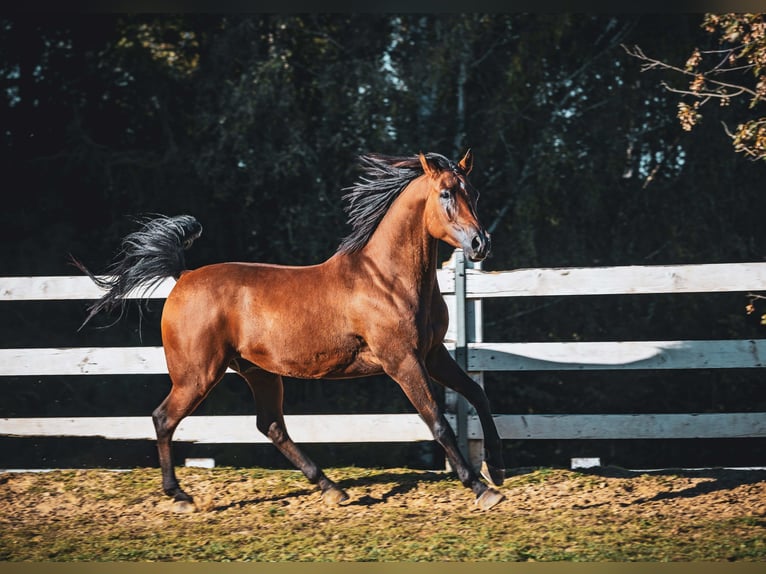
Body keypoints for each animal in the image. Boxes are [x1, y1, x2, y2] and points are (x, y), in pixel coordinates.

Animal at [76, 151, 510, 510]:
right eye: (446, 193)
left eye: (473, 192)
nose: (481, 243)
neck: (388, 280)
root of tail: (181, 276)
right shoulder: (402, 361)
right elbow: (438, 421)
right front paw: (480, 488)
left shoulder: (433, 354)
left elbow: (478, 395)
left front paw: (498, 469)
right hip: (196, 375)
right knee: (164, 418)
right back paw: (180, 496)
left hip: (259, 373)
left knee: (270, 425)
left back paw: (332, 489)